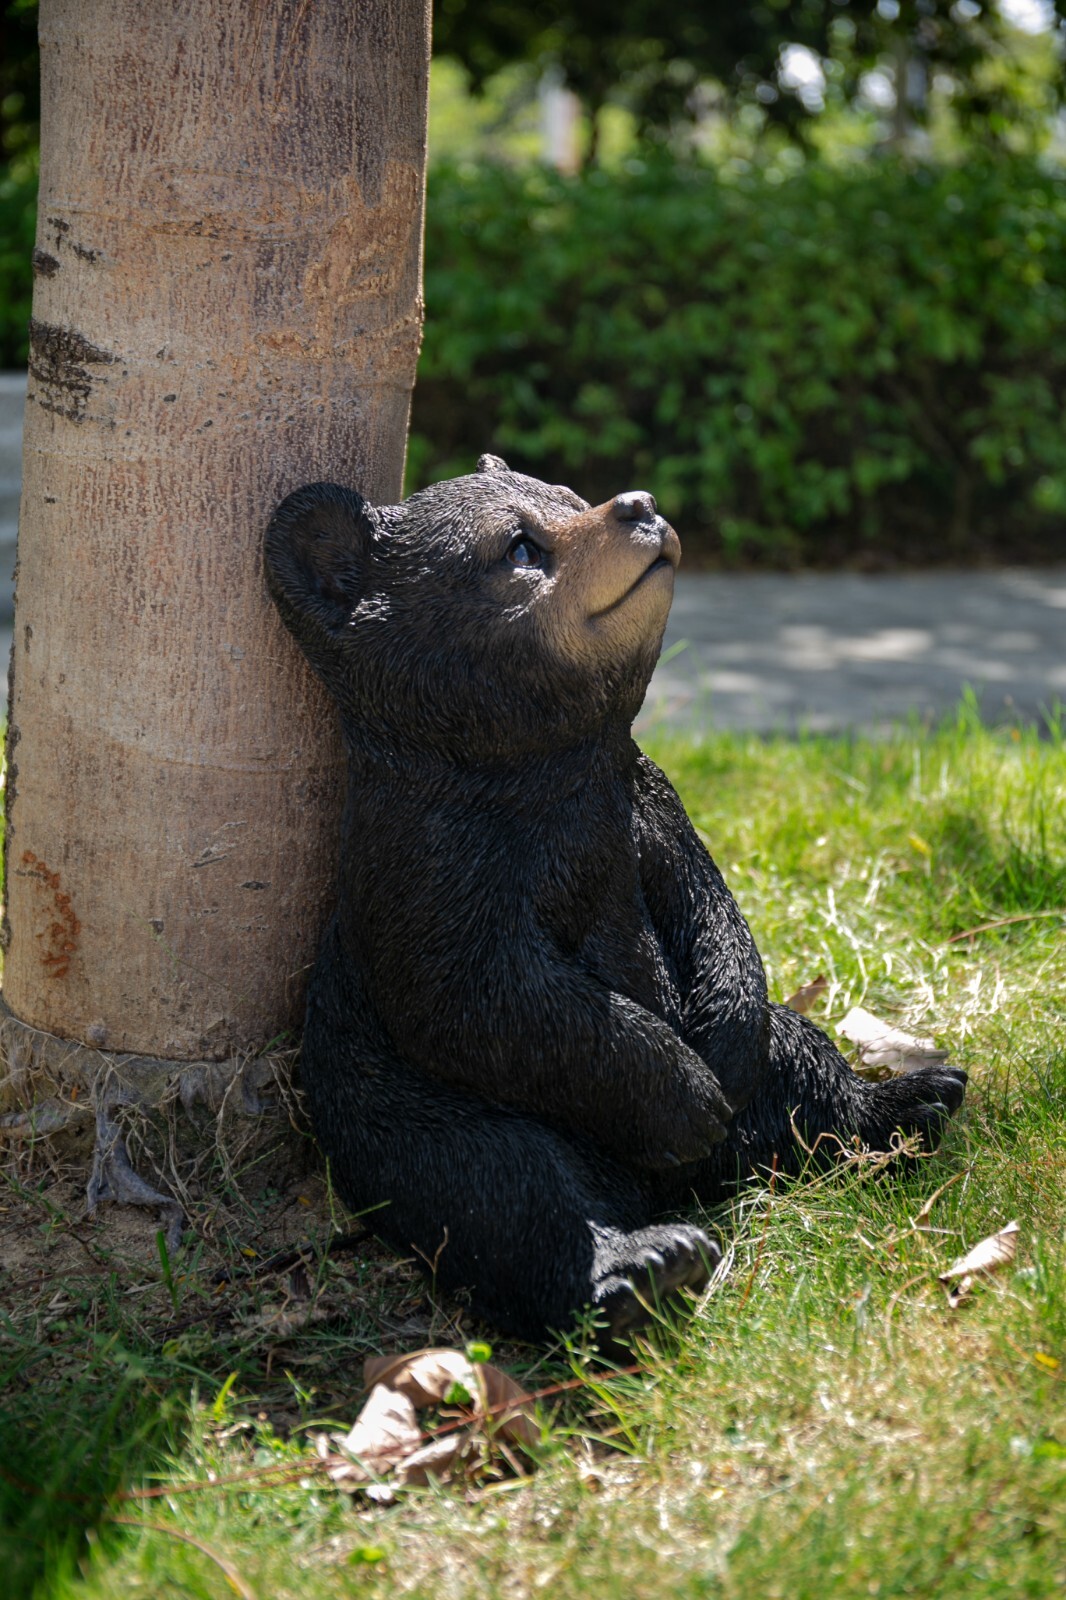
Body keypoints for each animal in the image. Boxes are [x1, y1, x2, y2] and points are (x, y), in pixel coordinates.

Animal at [264, 454, 967, 1350]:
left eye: (568, 495)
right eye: (520, 546)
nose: (639, 504)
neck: (547, 766)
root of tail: (684, 1188)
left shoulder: (646, 802)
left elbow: (712, 912)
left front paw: (724, 1047)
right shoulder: (432, 852)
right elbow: (478, 993)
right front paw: (684, 1095)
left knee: (799, 1055)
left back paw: (908, 1102)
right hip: (405, 1105)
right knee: (499, 1176)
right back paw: (640, 1263)